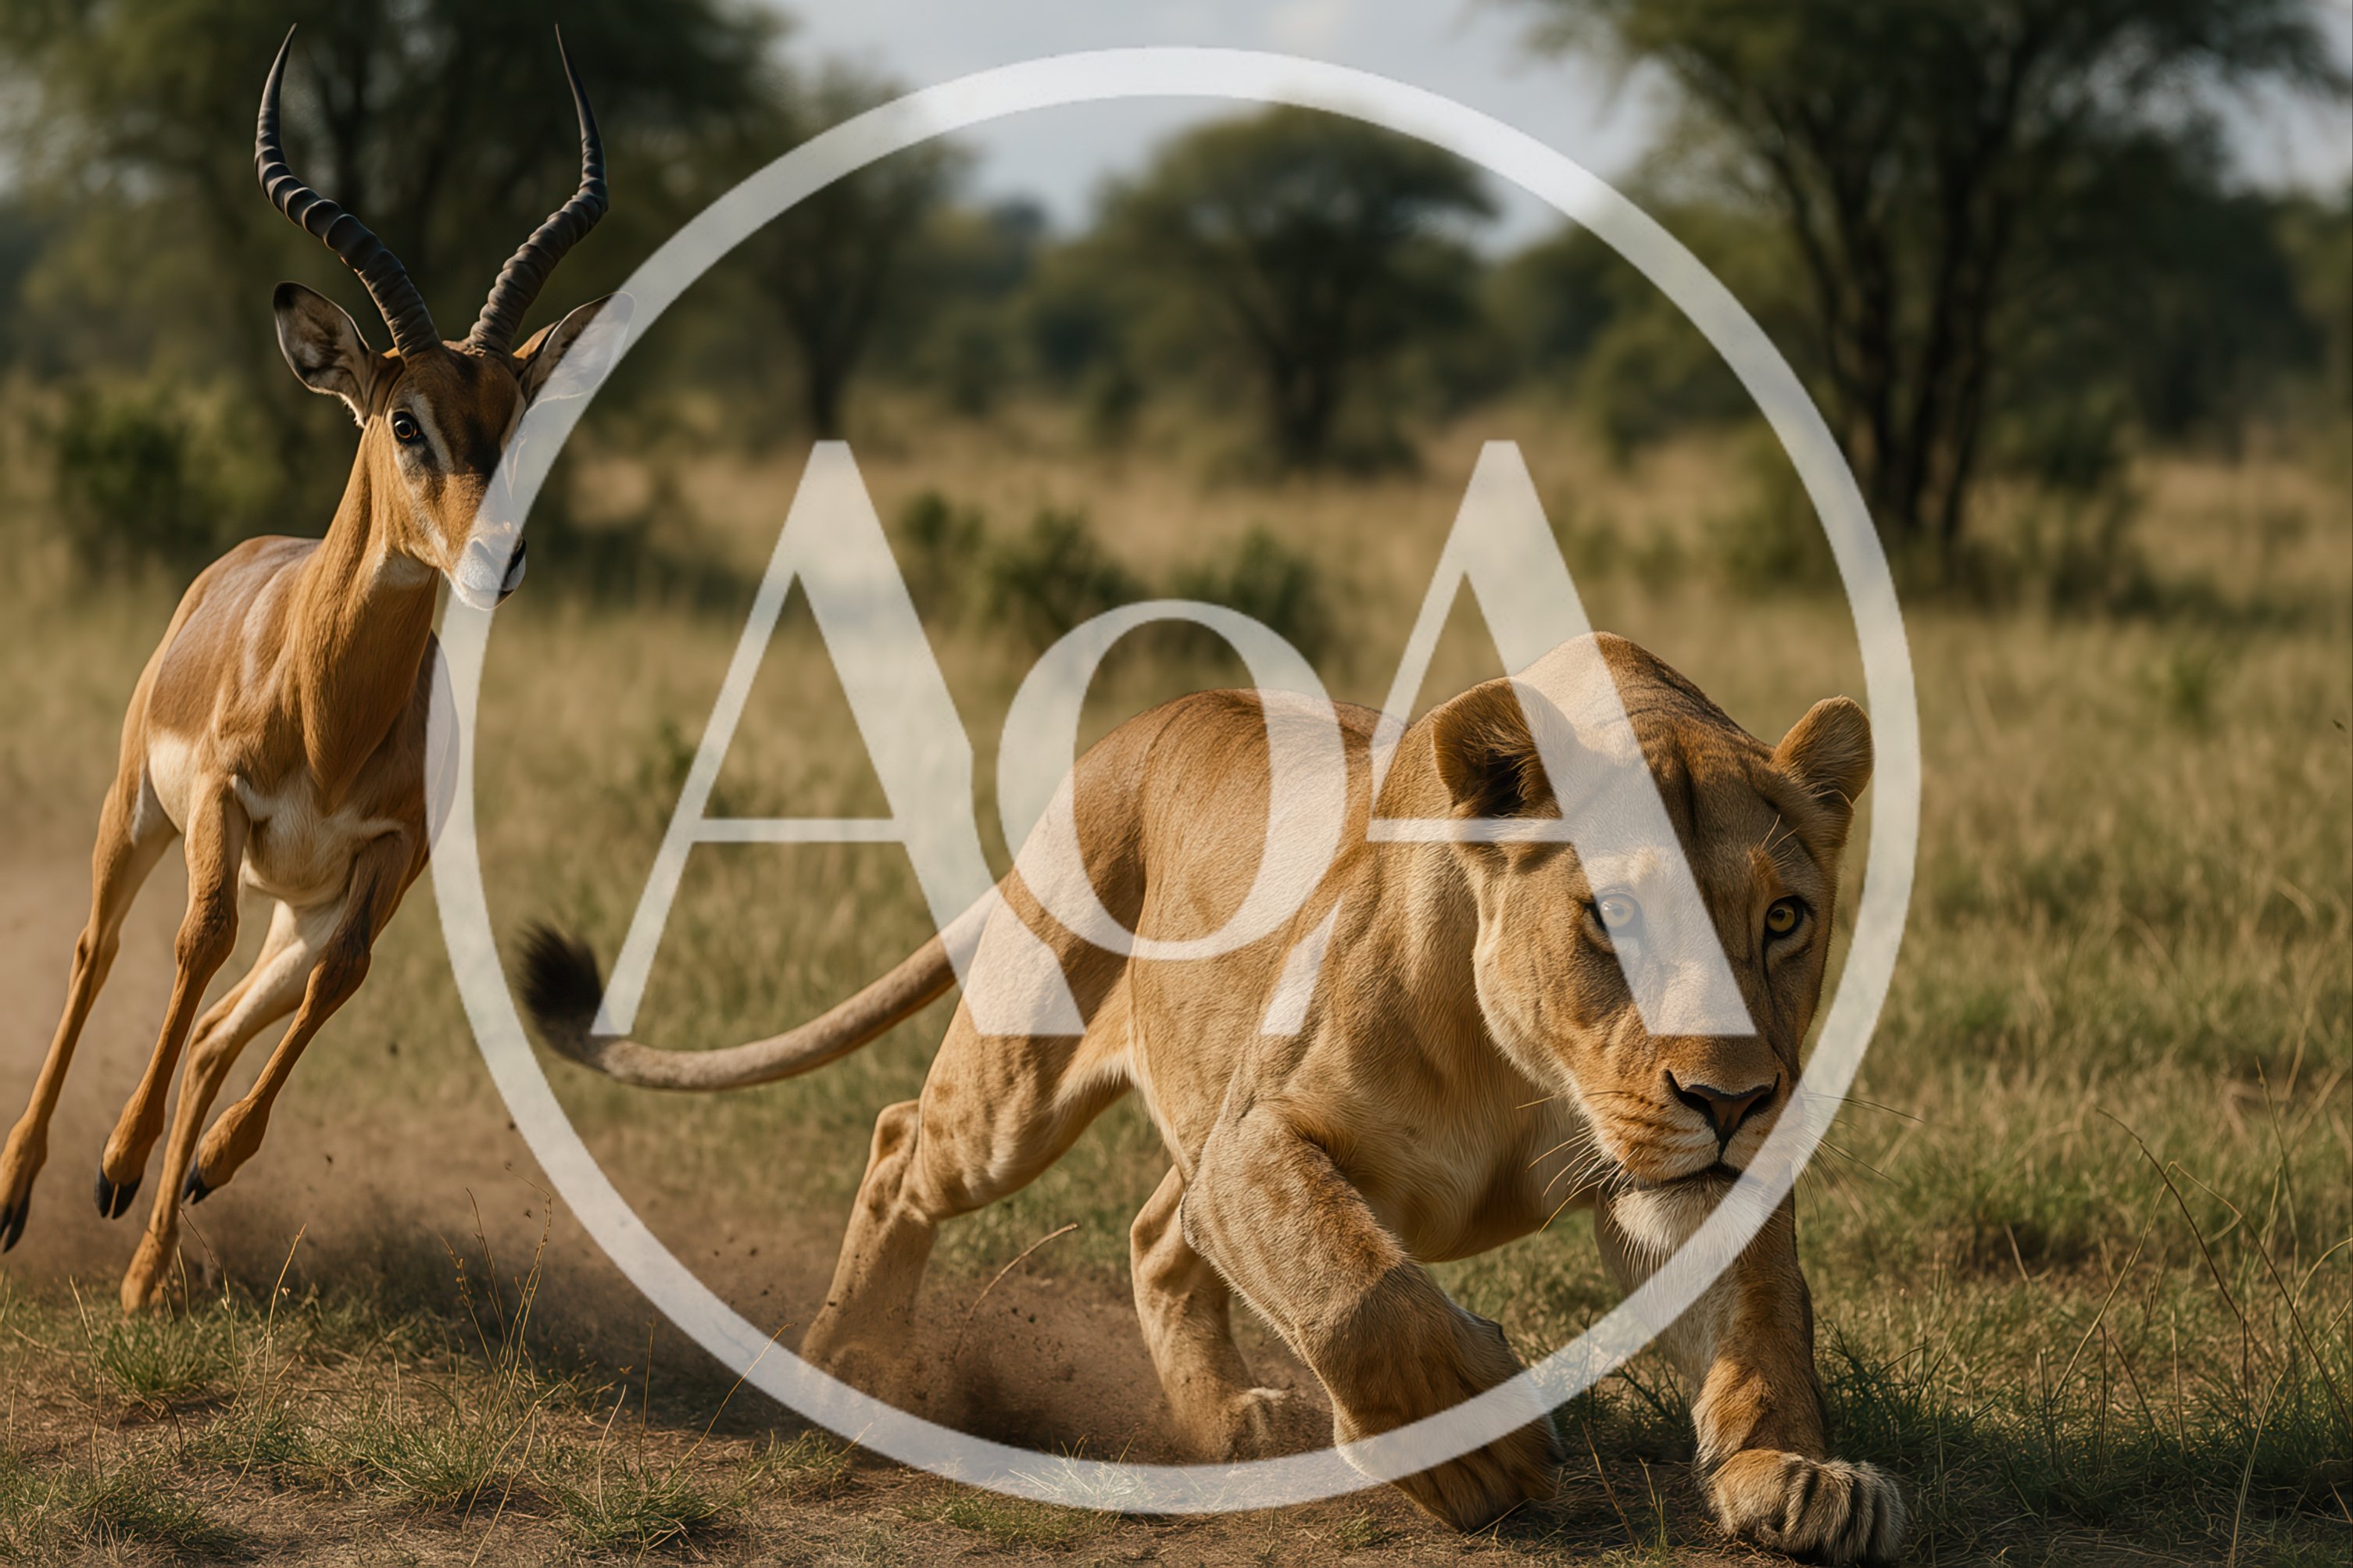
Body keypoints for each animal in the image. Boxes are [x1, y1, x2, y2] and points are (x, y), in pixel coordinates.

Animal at [0, 27, 619, 1310]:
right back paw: (28, 1192)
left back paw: (147, 1272)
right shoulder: (221, 807)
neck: (328, 719)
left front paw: (206, 1164)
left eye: (517, 418)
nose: (499, 553)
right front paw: (117, 1158)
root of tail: (235, 559)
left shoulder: (381, 864)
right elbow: (193, 941)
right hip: (135, 813)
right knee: (103, 952)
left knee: (221, 1028)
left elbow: (343, 980)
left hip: (296, 902)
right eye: (405, 420)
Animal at [522, 632, 1907, 1562]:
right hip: (1016, 1090)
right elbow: (1357, 1289)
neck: (1531, 1068)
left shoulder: (1681, 1169)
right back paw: (847, 1361)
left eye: (1782, 918)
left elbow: (1755, 1326)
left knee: (1151, 1229)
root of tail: (1124, 733)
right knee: (905, 1138)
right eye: (1608, 919)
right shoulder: (1261, 1137)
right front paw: (1475, 1444)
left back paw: (1228, 1415)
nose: (1735, 1097)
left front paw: (1797, 1474)